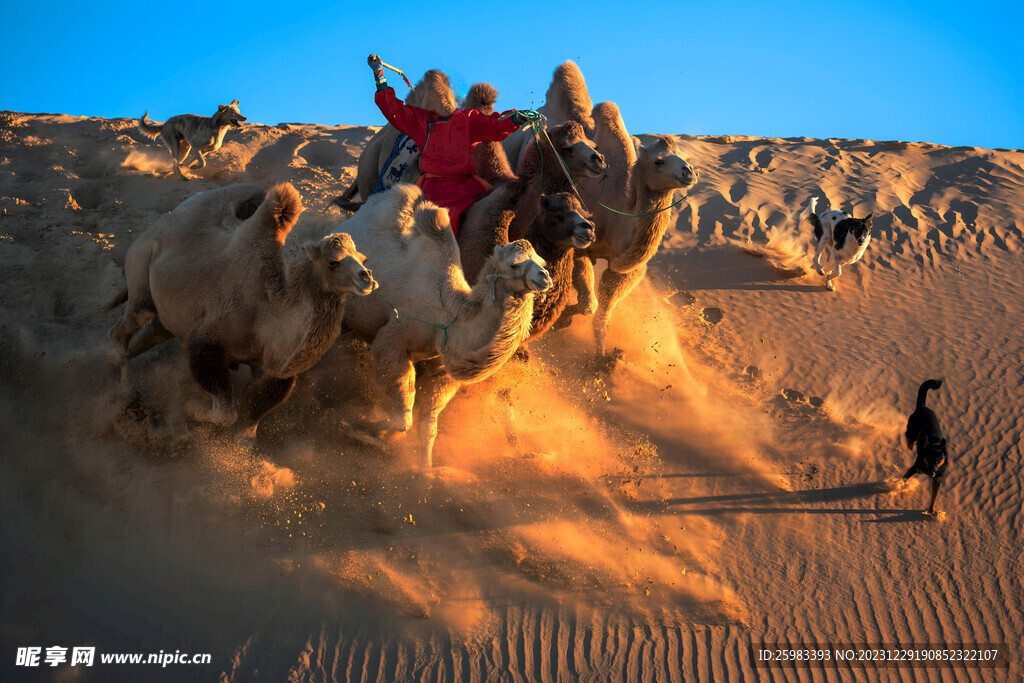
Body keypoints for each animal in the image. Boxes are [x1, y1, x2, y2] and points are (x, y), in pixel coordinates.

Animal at [105, 184, 378, 436]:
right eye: (333, 262)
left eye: (363, 259)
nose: (367, 278)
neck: (268, 310)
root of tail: (158, 225)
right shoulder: (206, 341)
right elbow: (226, 412)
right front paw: (193, 409)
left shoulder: (269, 370)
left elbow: (251, 419)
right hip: (141, 279)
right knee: (125, 328)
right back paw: (125, 393)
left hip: (169, 316)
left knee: (145, 336)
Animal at [333, 184, 552, 466]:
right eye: (515, 264)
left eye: (542, 262)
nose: (545, 278)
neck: (448, 315)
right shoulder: (392, 342)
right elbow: (404, 415)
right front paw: (361, 431)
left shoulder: (441, 370)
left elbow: (429, 422)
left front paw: (424, 467)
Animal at [901, 376, 946, 516]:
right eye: (929, 459)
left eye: (938, 460)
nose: (931, 472)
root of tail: (922, 406)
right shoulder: (915, 468)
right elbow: (904, 478)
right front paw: (896, 485)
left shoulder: (938, 479)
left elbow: (934, 497)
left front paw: (932, 512)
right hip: (913, 432)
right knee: (909, 437)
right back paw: (911, 445)